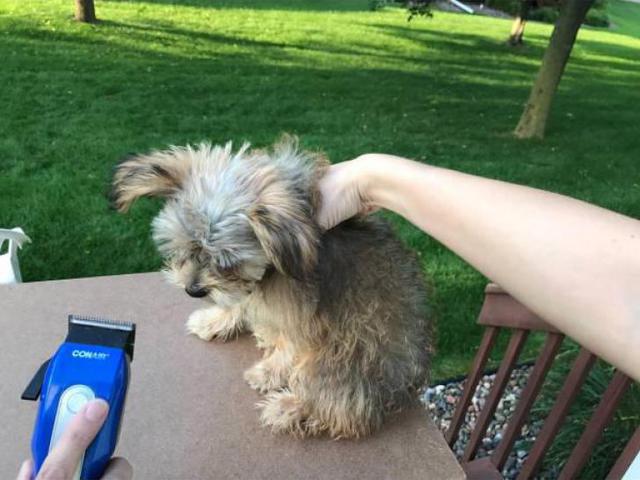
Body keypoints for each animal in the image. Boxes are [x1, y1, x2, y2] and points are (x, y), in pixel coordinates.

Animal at [111, 135, 436, 438]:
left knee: (344, 407)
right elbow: (239, 302)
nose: (193, 290)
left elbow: (287, 346)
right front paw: (214, 319)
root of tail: (404, 386)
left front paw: (269, 372)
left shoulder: (302, 317)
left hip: (348, 354)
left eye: (227, 263)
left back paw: (291, 407)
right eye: (183, 248)